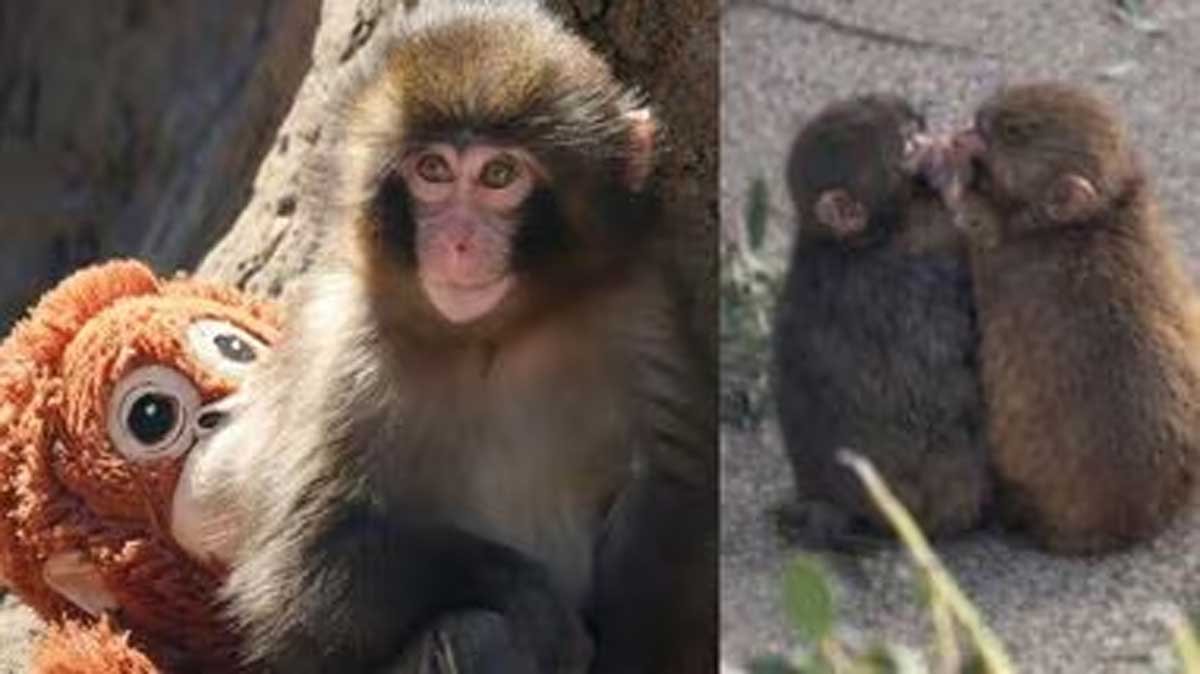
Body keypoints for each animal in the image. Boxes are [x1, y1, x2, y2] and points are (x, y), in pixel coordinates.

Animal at [173, 1, 716, 672]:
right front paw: (530, 596)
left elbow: (676, 503)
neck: (494, 335)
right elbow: (301, 575)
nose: (457, 240)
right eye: (432, 170)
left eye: (499, 174)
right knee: (475, 632)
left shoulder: (638, 312)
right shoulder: (342, 346)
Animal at [934, 82, 1200, 554]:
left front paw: (951, 176)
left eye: (1005, 135)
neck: (1093, 220)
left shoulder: (1004, 258)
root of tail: (1134, 522)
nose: (967, 128)